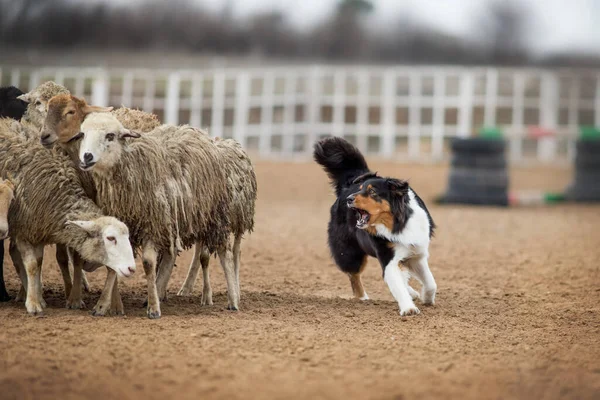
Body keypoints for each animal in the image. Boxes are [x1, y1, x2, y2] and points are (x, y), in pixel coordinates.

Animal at [0, 119, 136, 316]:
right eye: (111, 238)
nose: (132, 268)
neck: (56, 194)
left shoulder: (39, 230)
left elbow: (38, 263)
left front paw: (38, 296)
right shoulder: (24, 230)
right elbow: (32, 265)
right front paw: (34, 303)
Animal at [314, 138, 436, 316]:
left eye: (372, 192)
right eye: (361, 190)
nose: (350, 199)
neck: (398, 223)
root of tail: (348, 185)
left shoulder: (416, 253)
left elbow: (430, 282)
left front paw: (426, 298)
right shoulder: (388, 257)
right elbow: (397, 284)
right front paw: (408, 308)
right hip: (349, 253)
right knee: (354, 276)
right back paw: (363, 298)